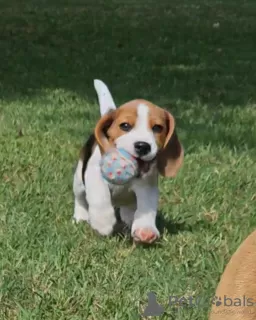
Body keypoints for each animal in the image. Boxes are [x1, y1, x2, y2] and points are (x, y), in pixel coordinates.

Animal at [73, 79, 183, 242]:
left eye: (157, 128)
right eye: (125, 126)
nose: (143, 146)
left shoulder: (147, 185)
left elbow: (147, 207)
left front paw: (145, 228)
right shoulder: (94, 174)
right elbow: (100, 196)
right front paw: (103, 222)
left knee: (129, 205)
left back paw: (128, 216)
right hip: (79, 180)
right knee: (80, 198)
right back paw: (81, 216)